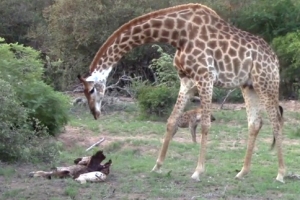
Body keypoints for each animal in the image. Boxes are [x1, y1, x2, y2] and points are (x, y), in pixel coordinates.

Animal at [78, 3, 286, 182]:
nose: (95, 113)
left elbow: (205, 125)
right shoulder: (187, 80)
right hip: (249, 85)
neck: (178, 34)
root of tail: (275, 59)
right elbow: (171, 121)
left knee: (277, 121)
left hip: (266, 82)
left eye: (91, 89)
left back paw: (281, 174)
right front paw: (157, 166)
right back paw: (242, 172)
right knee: (255, 123)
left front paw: (197, 172)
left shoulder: (205, 76)